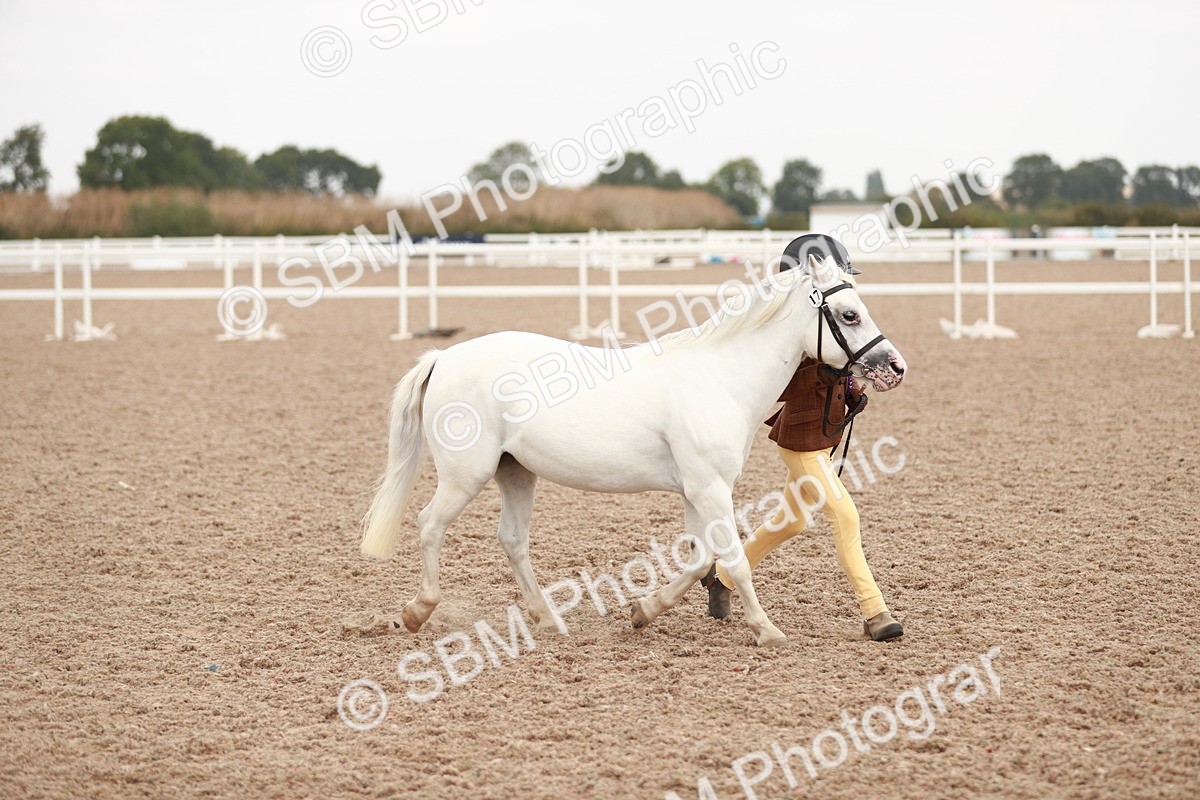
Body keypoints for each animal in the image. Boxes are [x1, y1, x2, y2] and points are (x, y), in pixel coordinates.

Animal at [360, 253, 907, 646]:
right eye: (849, 314)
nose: (894, 367)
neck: (718, 377)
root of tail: (444, 356)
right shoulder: (710, 489)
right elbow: (733, 559)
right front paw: (767, 630)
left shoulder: (695, 493)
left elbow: (700, 559)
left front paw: (643, 611)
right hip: (465, 475)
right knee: (429, 524)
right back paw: (417, 612)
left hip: (515, 472)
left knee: (512, 539)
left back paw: (548, 619)